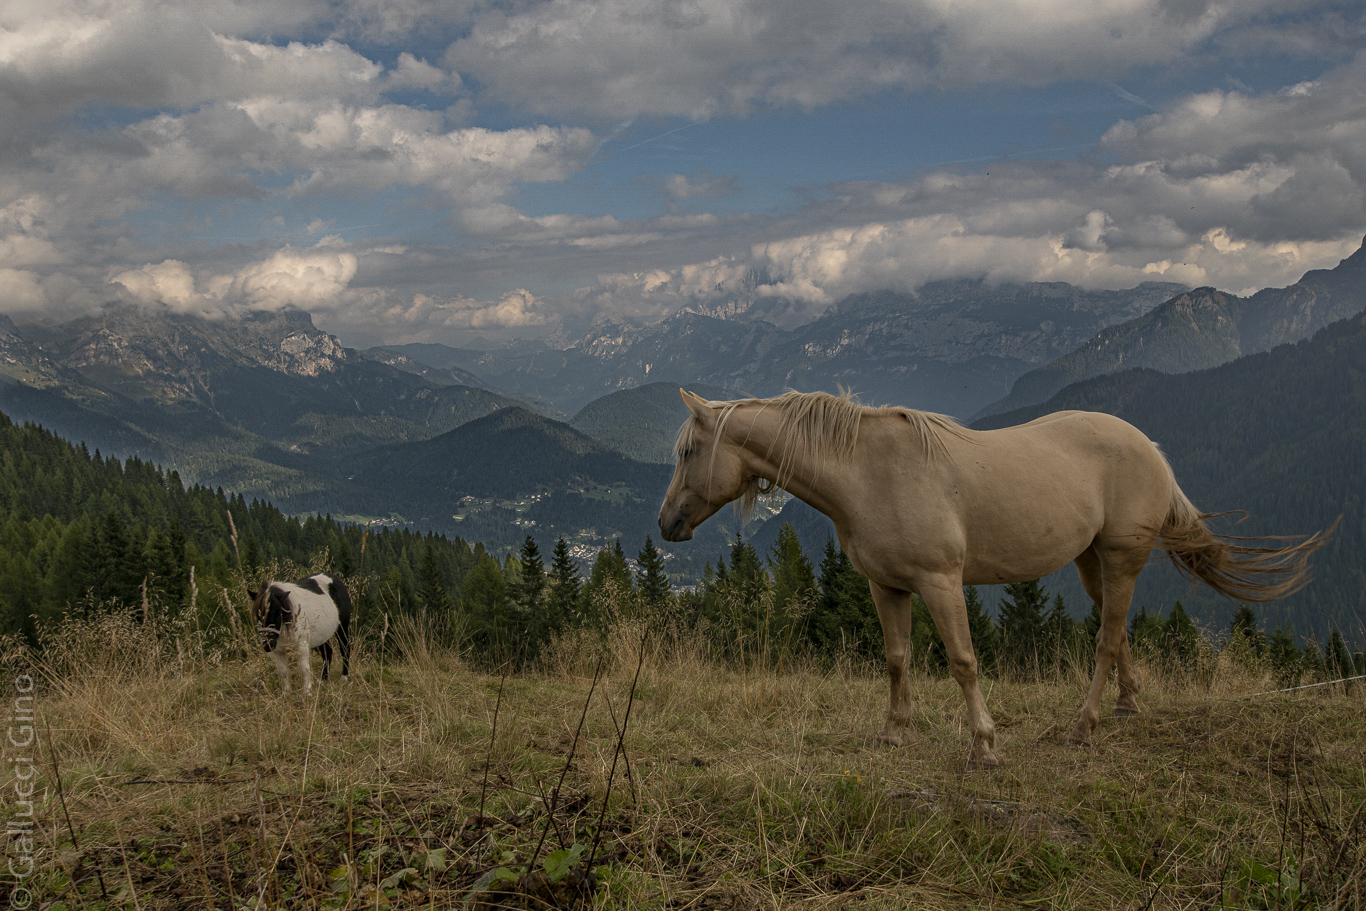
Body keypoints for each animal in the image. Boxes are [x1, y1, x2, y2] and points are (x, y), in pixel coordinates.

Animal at [655, 390, 1327, 770]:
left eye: (688, 452)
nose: (667, 525)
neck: (869, 475)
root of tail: (1151, 448)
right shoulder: (886, 586)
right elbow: (897, 659)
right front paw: (893, 733)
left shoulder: (940, 582)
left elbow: (963, 662)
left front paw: (983, 745)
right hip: (1091, 563)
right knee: (1118, 630)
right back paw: (1128, 705)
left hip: (1121, 556)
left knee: (1105, 639)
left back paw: (1083, 727)